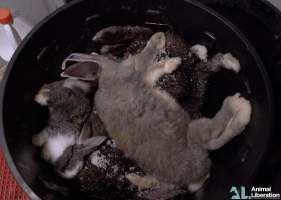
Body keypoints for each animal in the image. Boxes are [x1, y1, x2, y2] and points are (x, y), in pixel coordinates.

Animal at [62, 32, 250, 191]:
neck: (106, 74)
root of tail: (199, 174)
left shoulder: (142, 77)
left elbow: (154, 70)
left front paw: (171, 62)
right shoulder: (137, 70)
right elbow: (148, 60)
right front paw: (159, 41)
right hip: (195, 129)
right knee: (215, 131)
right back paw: (239, 106)